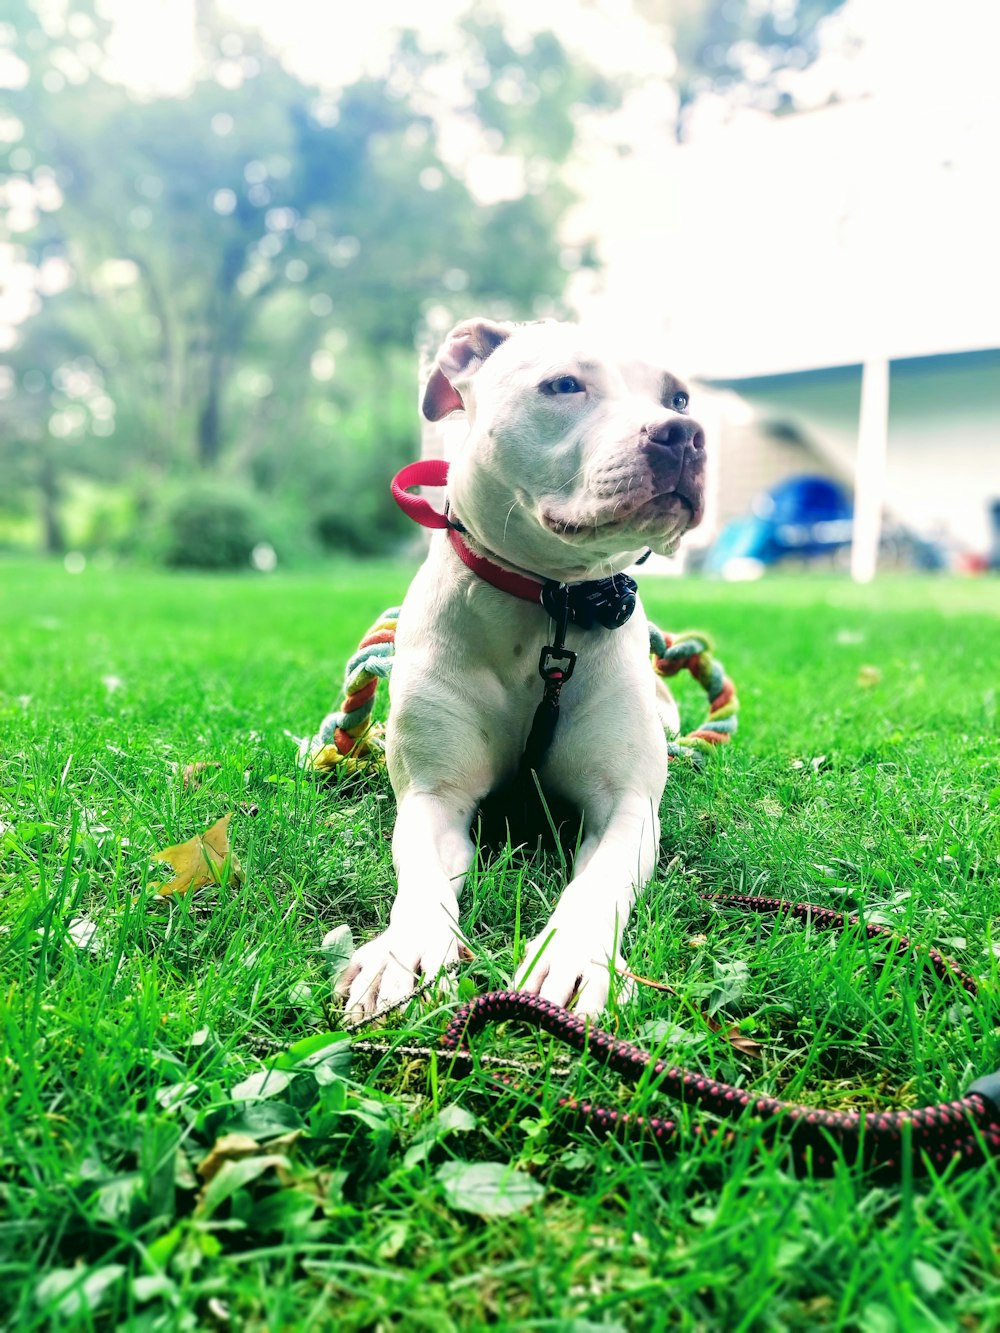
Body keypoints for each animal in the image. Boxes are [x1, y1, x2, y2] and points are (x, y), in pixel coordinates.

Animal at [341, 317, 709, 1013]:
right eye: (563, 385)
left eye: (678, 398)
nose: (684, 434)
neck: (551, 606)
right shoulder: (434, 794)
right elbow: (422, 874)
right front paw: (405, 952)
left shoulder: (627, 804)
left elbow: (597, 884)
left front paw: (576, 957)